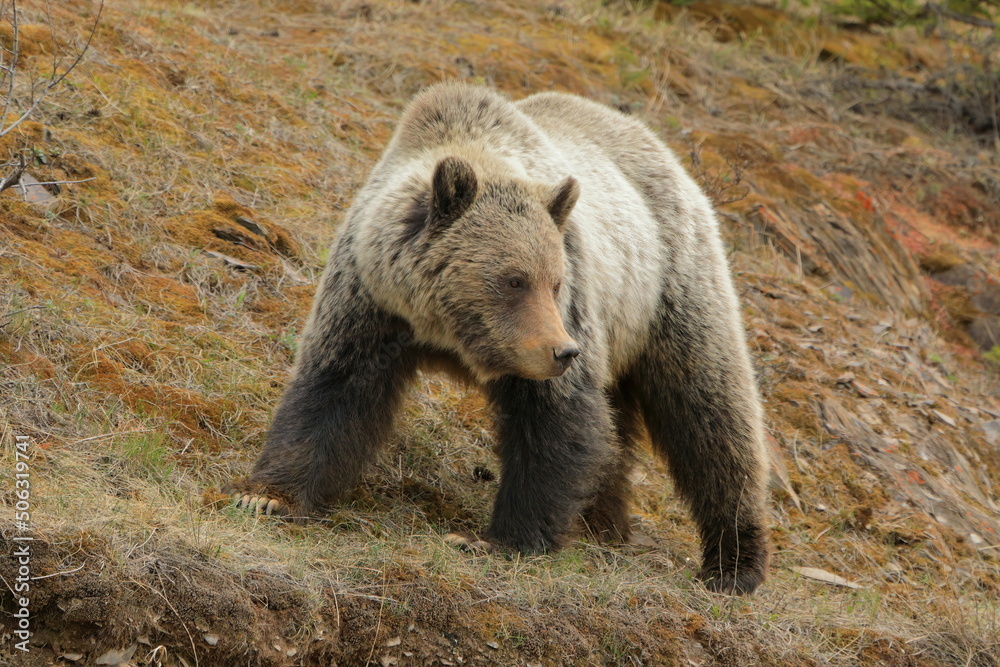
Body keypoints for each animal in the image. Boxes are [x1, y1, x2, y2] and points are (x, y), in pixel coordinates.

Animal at [231, 82, 770, 595]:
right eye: (514, 280)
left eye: (555, 281)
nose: (563, 351)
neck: (447, 331)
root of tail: (661, 150)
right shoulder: (372, 302)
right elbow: (334, 390)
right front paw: (266, 496)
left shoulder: (563, 319)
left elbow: (555, 422)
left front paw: (496, 540)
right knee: (624, 431)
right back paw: (603, 524)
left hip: (669, 292)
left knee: (710, 415)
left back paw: (733, 565)